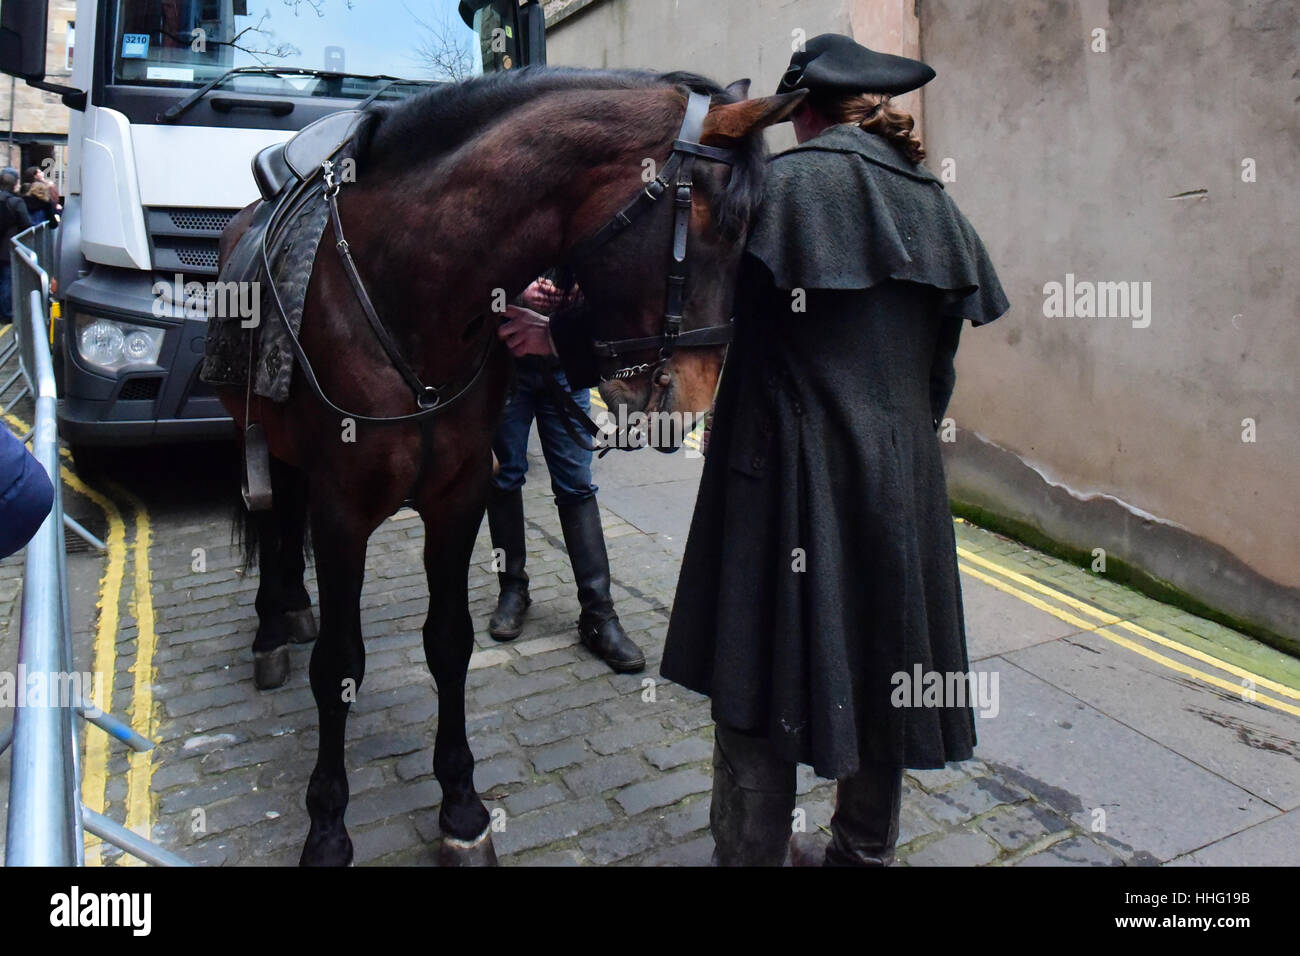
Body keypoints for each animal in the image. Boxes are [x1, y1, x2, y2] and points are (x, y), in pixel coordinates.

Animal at [215, 69, 800, 868]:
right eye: (718, 231)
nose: (690, 406)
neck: (409, 293)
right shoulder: (343, 512)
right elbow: (338, 665)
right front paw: (329, 826)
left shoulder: (458, 497)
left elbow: (449, 641)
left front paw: (462, 810)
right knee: (277, 525)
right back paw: (274, 628)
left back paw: (295, 608)